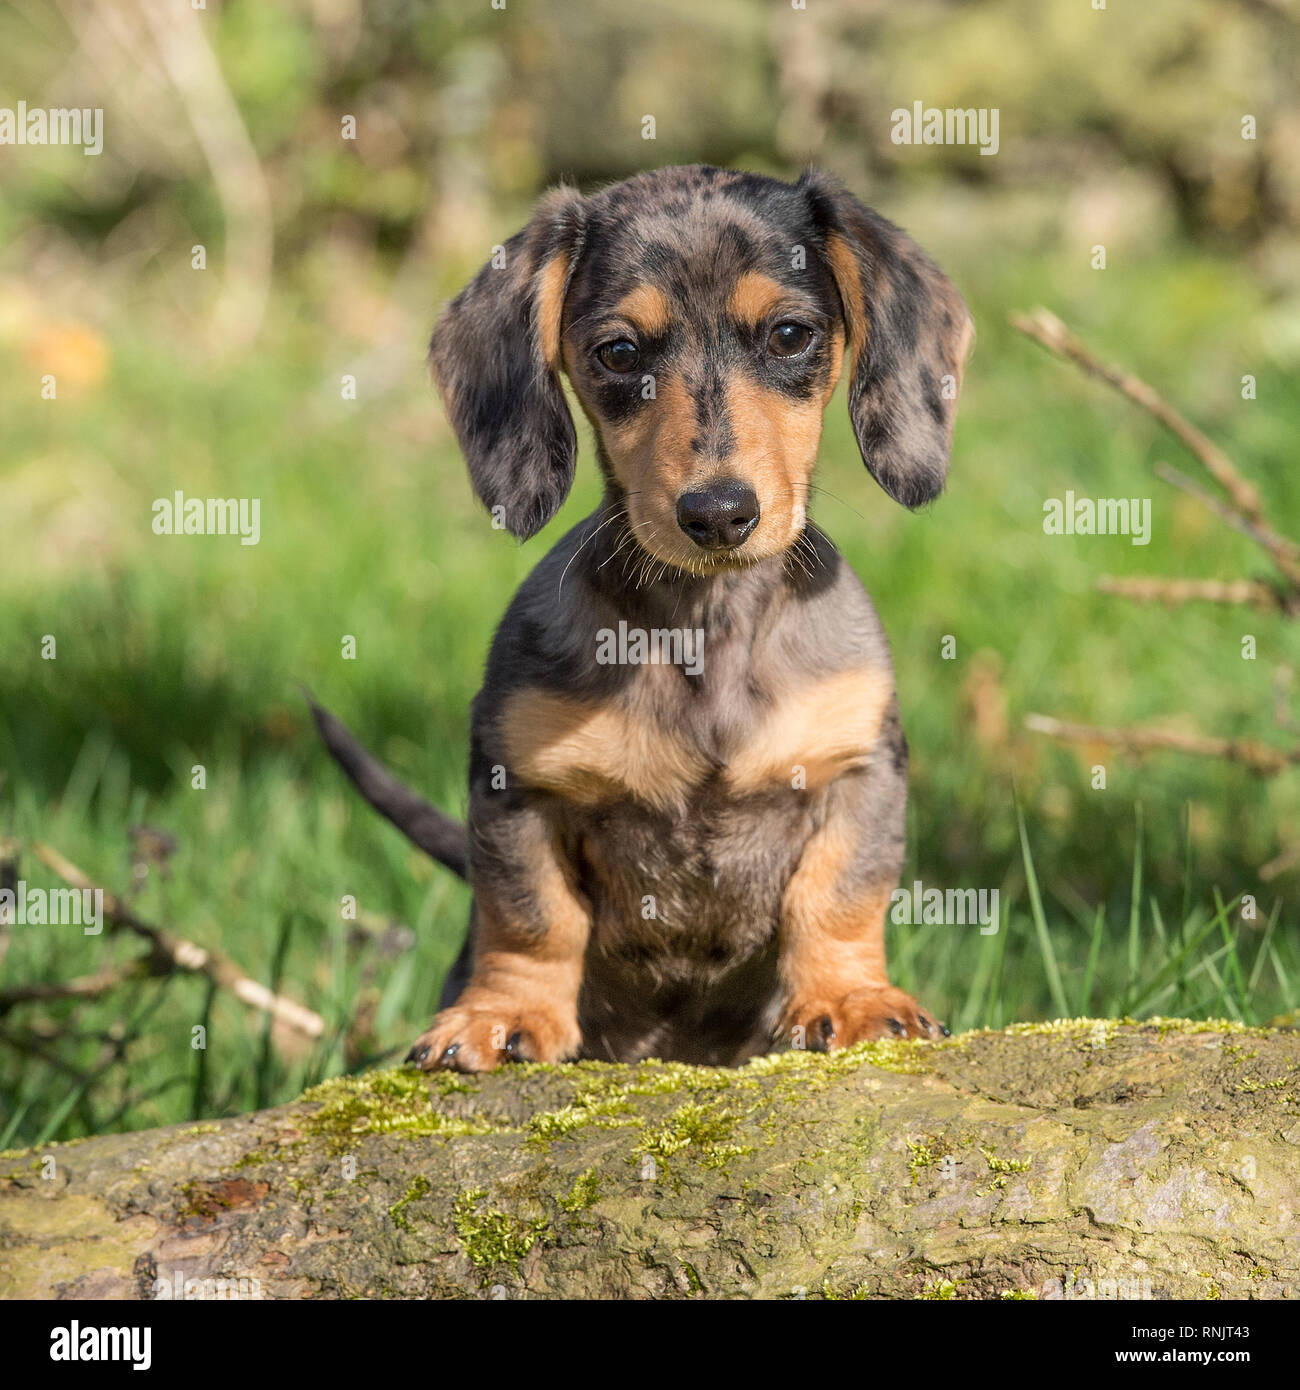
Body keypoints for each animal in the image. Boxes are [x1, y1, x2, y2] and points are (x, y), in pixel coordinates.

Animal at [325, 165, 978, 1073]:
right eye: (619, 352)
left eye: (790, 335)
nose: (718, 513)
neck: (706, 624)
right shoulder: (519, 788)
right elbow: (529, 916)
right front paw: (503, 1014)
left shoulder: (859, 769)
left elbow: (839, 894)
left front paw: (850, 997)